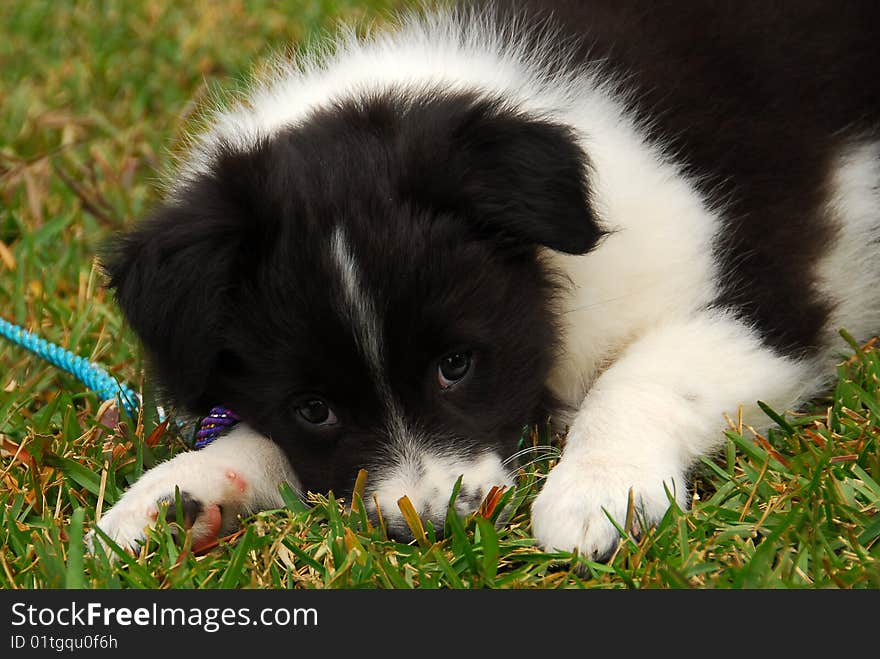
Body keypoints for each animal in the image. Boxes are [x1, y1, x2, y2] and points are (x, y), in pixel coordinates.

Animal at [91, 0, 880, 560]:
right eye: (313, 407)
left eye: (457, 365)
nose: (436, 524)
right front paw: (178, 493)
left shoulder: (769, 300)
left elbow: (642, 376)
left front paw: (596, 492)